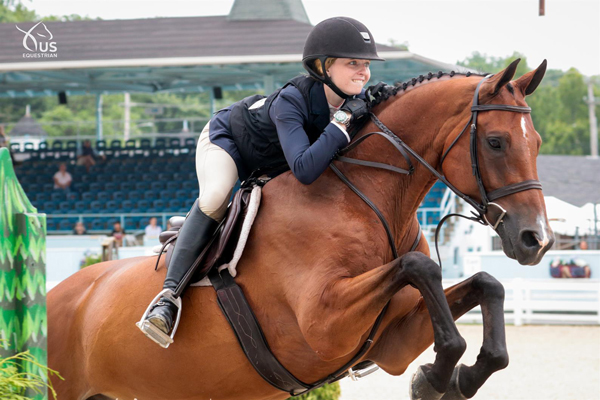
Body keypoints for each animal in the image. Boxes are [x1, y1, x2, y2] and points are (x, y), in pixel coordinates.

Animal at [47, 59, 552, 400]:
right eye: (496, 142)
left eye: (538, 143)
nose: (537, 241)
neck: (367, 199)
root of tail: (58, 294)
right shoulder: (324, 324)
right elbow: (419, 266)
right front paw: (438, 375)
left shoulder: (392, 341)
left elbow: (486, 283)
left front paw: (453, 378)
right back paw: (161, 313)